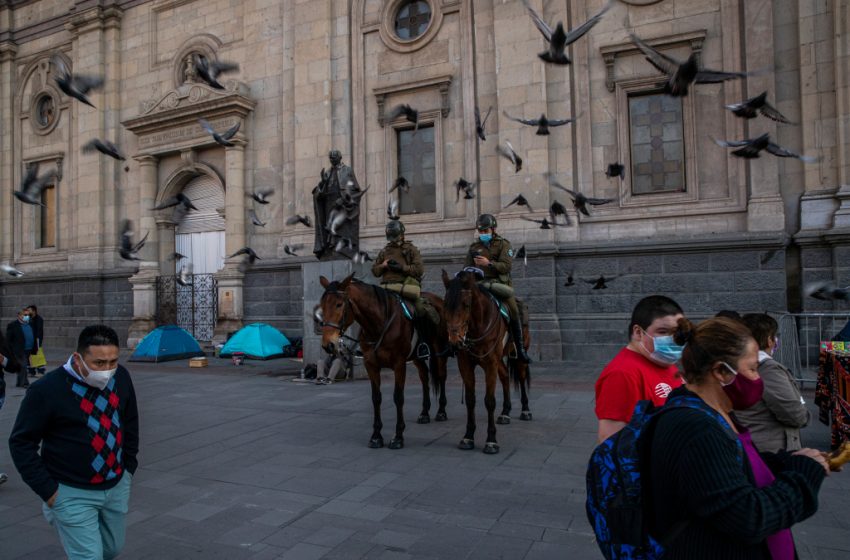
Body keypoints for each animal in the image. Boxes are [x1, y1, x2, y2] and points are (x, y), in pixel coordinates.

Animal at [318, 274, 450, 448]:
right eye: (322, 305)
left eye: (339, 304)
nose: (328, 344)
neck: (379, 325)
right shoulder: (371, 365)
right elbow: (376, 398)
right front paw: (376, 436)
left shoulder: (399, 364)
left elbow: (398, 397)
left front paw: (398, 436)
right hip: (416, 357)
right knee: (424, 376)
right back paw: (424, 413)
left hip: (440, 351)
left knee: (441, 376)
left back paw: (441, 411)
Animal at [438, 268, 528, 456]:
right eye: (445, 304)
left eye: (466, 304)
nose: (455, 342)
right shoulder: (465, 363)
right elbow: (470, 399)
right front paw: (468, 436)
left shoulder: (490, 363)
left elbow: (489, 400)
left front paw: (491, 440)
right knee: (505, 377)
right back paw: (505, 412)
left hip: (517, 355)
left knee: (522, 377)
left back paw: (525, 410)